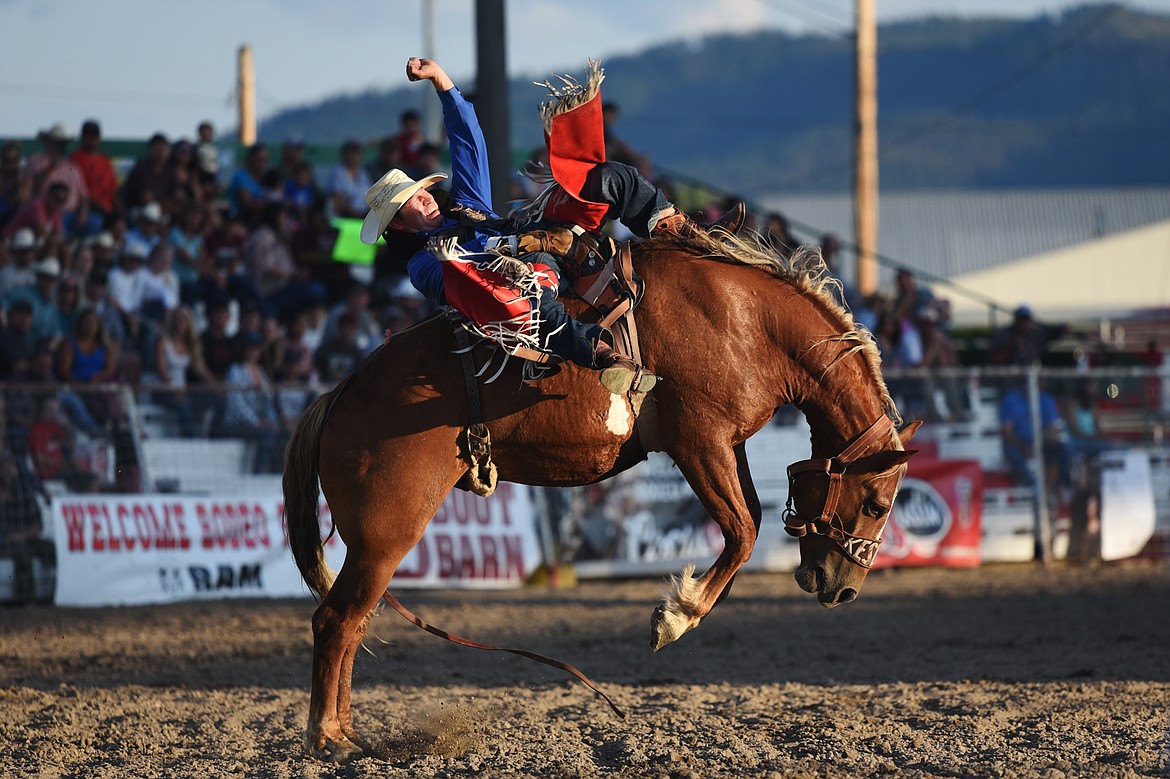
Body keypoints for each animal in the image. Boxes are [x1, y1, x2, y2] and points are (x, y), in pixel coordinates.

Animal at [285, 225, 921, 757]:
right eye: (877, 503)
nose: (842, 589)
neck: (747, 324)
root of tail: (339, 394)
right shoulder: (699, 439)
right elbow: (741, 532)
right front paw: (676, 615)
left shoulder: (727, 443)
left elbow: (753, 520)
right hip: (385, 535)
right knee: (335, 621)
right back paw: (328, 738)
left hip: (375, 546)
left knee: (354, 622)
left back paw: (348, 734)